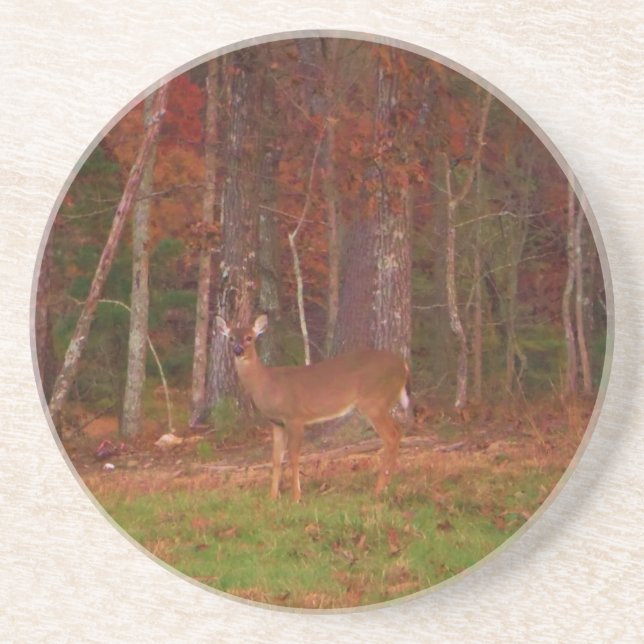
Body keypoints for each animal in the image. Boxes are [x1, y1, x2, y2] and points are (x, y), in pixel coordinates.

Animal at [215, 314, 410, 502]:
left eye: (249, 337)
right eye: (231, 338)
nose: (238, 350)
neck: (267, 384)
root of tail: (404, 366)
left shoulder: (295, 417)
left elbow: (294, 456)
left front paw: (296, 497)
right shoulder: (277, 423)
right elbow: (276, 459)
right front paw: (272, 497)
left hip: (373, 401)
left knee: (391, 436)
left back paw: (378, 489)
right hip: (381, 403)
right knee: (398, 430)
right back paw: (387, 484)